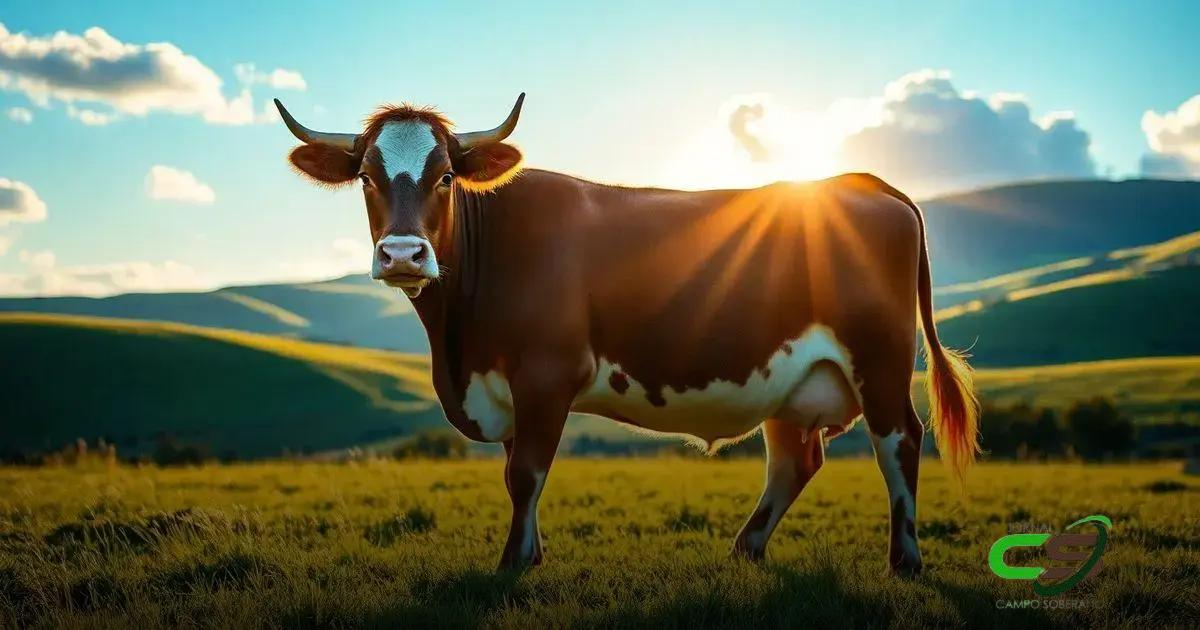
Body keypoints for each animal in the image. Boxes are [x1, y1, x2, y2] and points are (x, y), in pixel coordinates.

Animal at [274, 94, 980, 573]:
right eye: (366, 177)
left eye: (445, 175)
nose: (402, 254)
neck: (458, 345)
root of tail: (861, 183)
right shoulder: (509, 385)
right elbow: (516, 469)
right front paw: (530, 553)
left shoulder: (545, 372)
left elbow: (525, 472)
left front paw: (511, 566)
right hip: (790, 377)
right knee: (795, 459)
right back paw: (745, 548)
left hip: (879, 359)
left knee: (900, 440)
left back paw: (905, 559)